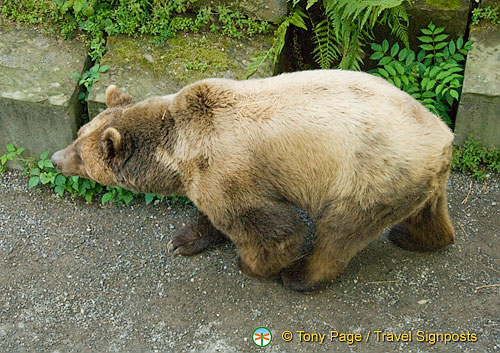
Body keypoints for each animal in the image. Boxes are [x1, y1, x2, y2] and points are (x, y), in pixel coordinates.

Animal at [51, 69, 458, 292]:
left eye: (81, 154)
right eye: (80, 133)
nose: (56, 159)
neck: (179, 149)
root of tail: (443, 137)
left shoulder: (229, 170)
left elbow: (274, 228)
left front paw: (253, 264)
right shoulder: (208, 175)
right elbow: (208, 216)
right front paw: (184, 240)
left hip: (368, 176)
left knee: (339, 232)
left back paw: (300, 277)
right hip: (415, 178)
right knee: (426, 212)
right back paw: (417, 237)